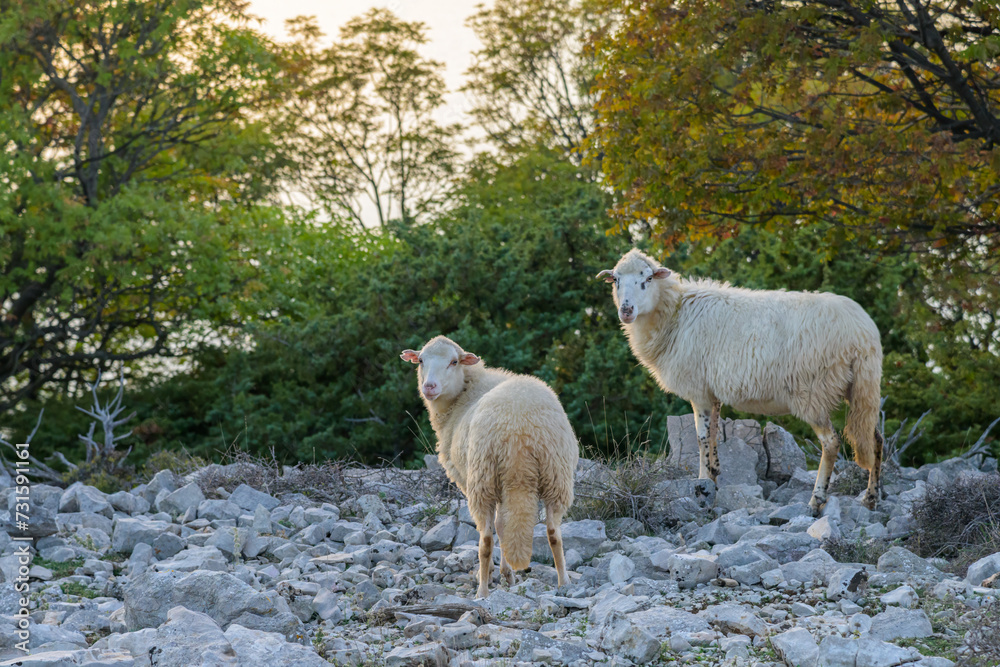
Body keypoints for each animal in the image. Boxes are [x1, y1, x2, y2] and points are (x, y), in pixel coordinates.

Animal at [400, 335, 578, 598]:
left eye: (454, 362)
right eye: (421, 360)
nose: (429, 387)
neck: (463, 394)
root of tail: (519, 430)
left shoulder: (467, 478)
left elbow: (496, 528)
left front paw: (501, 573)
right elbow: (503, 525)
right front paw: (508, 574)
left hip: (482, 478)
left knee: (485, 538)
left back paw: (482, 591)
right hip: (556, 475)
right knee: (553, 532)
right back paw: (564, 582)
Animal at [597, 249, 884, 514]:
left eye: (647, 278)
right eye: (616, 280)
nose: (626, 310)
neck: (675, 314)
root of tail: (862, 333)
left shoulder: (699, 390)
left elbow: (701, 438)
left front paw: (702, 485)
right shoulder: (712, 393)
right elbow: (713, 435)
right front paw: (713, 477)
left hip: (812, 390)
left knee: (831, 442)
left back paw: (817, 500)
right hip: (863, 388)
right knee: (876, 439)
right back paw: (871, 498)